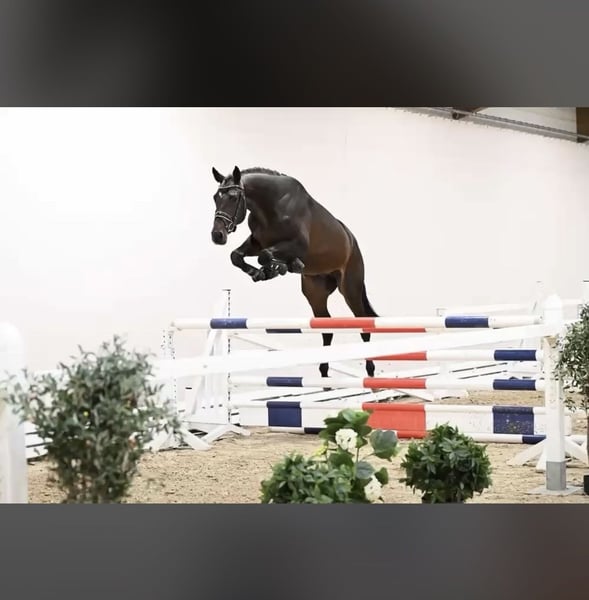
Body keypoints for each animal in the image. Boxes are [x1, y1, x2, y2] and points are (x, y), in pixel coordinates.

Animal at [209, 165, 379, 380]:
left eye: (232, 197)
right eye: (215, 197)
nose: (217, 235)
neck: (270, 206)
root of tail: (352, 241)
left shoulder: (297, 245)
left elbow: (264, 256)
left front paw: (275, 269)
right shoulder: (257, 242)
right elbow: (237, 256)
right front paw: (262, 272)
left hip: (350, 289)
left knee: (363, 325)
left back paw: (370, 371)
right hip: (315, 293)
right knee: (327, 329)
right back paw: (324, 376)